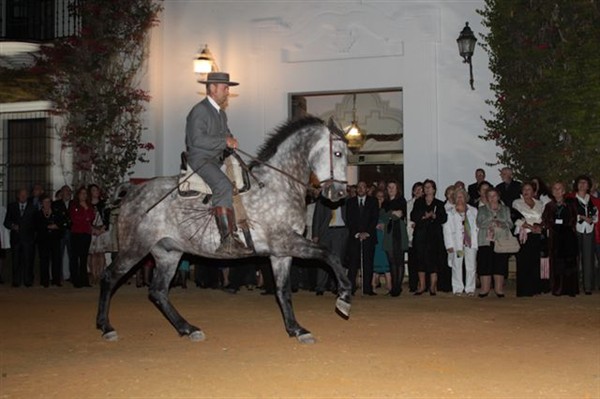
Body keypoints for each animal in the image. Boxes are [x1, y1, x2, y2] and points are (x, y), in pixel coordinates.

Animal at [96, 115, 354, 344]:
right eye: (338, 153)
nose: (340, 193)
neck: (277, 185)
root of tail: (133, 190)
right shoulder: (286, 241)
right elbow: (328, 254)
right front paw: (344, 295)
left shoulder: (281, 253)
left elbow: (283, 291)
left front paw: (297, 330)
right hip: (135, 248)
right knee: (109, 277)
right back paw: (106, 327)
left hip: (168, 252)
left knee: (158, 291)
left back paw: (188, 329)